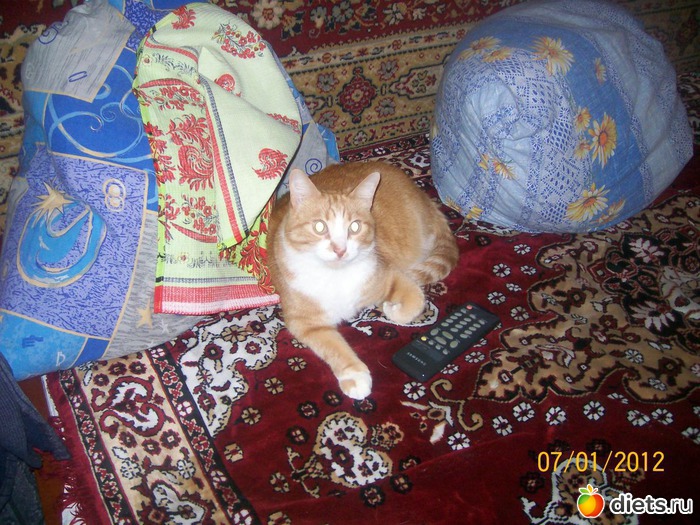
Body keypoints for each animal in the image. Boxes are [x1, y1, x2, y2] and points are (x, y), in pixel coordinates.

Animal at [267, 161, 459, 399]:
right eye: (320, 227)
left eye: (355, 227)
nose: (340, 250)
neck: (335, 276)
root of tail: (424, 197)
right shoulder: (305, 322)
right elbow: (334, 346)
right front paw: (354, 375)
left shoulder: (387, 274)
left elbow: (415, 300)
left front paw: (392, 309)